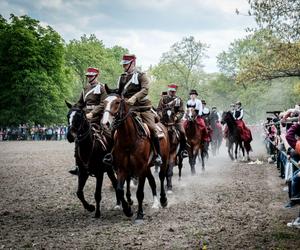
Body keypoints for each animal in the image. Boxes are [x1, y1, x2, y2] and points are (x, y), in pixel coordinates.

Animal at [101, 93, 170, 224]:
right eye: (104, 102)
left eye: (117, 102)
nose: (105, 123)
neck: (128, 140)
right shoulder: (122, 168)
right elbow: (119, 189)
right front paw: (128, 210)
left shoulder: (141, 168)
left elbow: (139, 193)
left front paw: (139, 215)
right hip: (147, 167)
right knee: (152, 182)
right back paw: (155, 203)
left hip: (162, 161)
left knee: (161, 177)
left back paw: (163, 200)